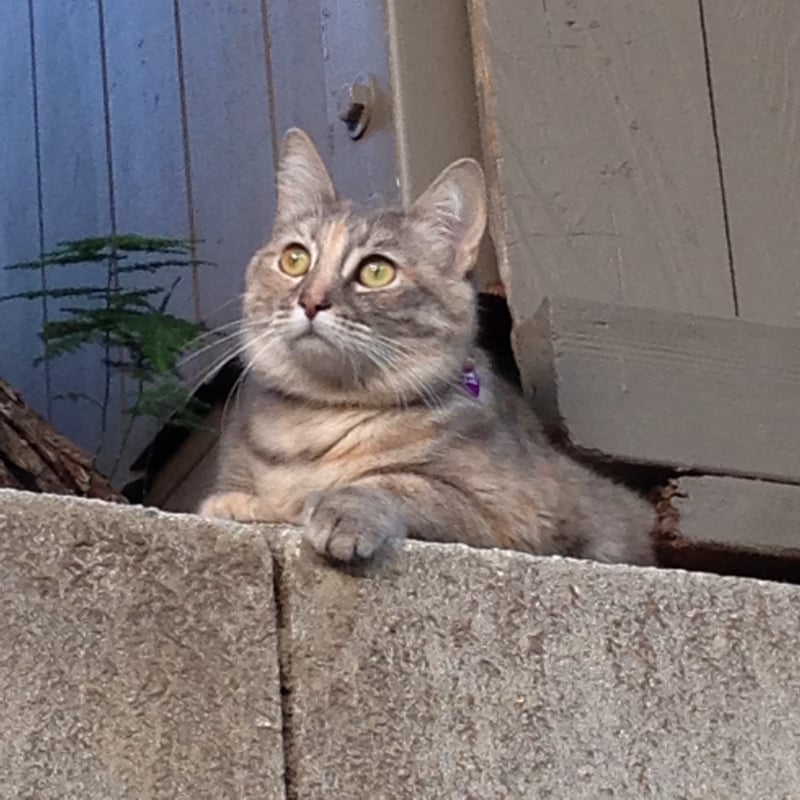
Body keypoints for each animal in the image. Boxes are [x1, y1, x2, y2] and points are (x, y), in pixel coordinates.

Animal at [195, 130, 656, 568]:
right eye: (294, 259)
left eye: (377, 271)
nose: (310, 301)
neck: (316, 422)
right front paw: (243, 504)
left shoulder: (512, 513)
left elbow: (402, 483)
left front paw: (341, 508)